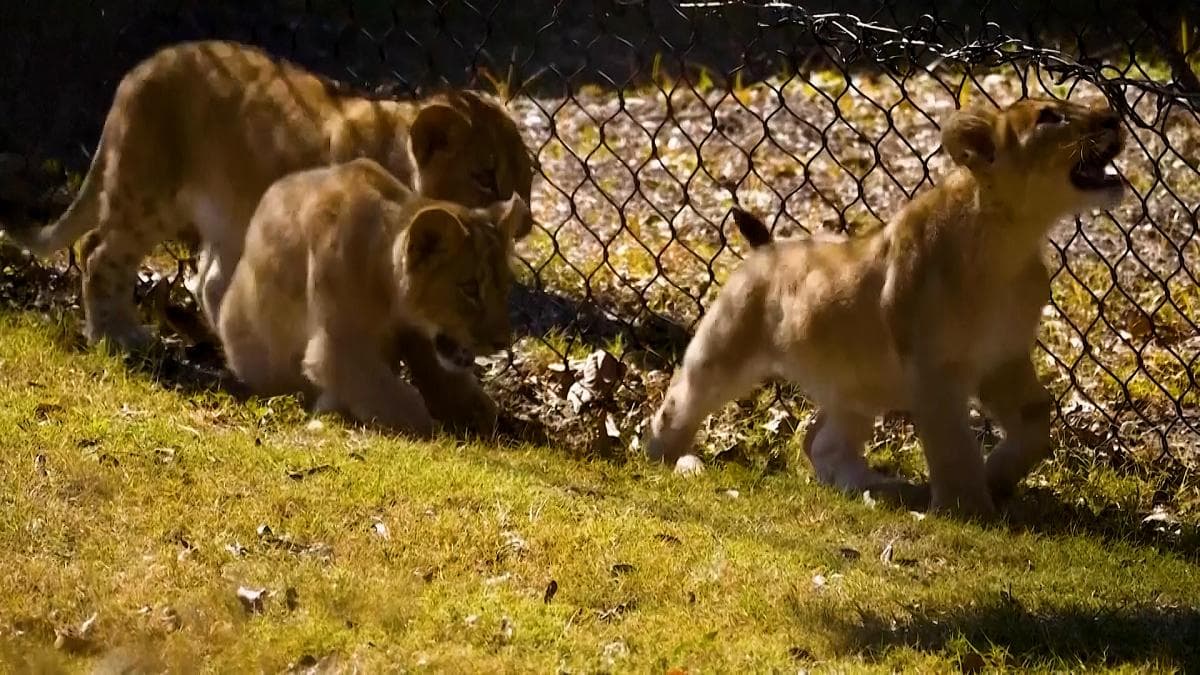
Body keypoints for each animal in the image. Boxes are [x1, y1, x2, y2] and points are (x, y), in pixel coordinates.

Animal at [0, 39, 534, 352]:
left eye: (527, 178)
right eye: (486, 176)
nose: (525, 224)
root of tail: (138, 71)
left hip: (227, 215)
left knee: (208, 281)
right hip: (148, 194)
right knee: (98, 251)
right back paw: (117, 336)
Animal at [217, 157, 527, 437]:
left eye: (504, 287)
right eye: (470, 288)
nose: (502, 342)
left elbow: (437, 372)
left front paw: (475, 410)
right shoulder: (339, 349)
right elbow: (396, 397)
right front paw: (434, 428)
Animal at [645, 98, 1126, 520]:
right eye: (1050, 116)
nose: (1113, 116)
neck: (1010, 243)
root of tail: (768, 249)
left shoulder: (1002, 357)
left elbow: (1035, 421)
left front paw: (997, 480)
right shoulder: (935, 369)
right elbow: (953, 445)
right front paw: (967, 509)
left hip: (856, 386)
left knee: (818, 441)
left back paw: (878, 488)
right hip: (725, 349)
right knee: (678, 404)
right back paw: (668, 462)